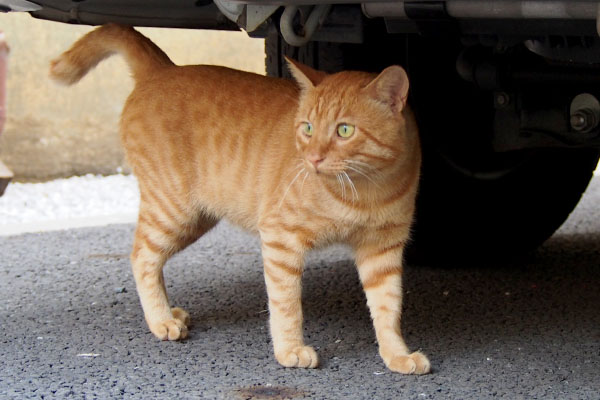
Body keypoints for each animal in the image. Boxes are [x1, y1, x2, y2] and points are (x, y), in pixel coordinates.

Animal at [49, 24, 428, 376]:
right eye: (307, 128)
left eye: (344, 130)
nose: (313, 158)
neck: (367, 190)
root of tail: (163, 69)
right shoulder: (280, 239)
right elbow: (287, 304)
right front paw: (290, 349)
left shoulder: (383, 251)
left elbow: (388, 309)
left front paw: (396, 354)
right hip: (172, 210)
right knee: (141, 256)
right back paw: (161, 320)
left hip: (192, 220)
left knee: (151, 260)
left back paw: (171, 312)